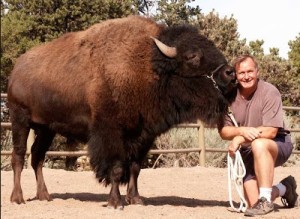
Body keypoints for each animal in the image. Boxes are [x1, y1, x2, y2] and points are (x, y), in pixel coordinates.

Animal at [7, 15, 237, 209]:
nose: (230, 73)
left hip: (46, 128)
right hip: (20, 120)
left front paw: (136, 199)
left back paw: (44, 196)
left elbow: (135, 167)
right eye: (192, 56)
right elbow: (117, 168)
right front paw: (115, 202)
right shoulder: (111, 134)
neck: (149, 65)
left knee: (37, 157)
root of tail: (16, 70)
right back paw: (17, 198)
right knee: (18, 156)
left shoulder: (143, 136)